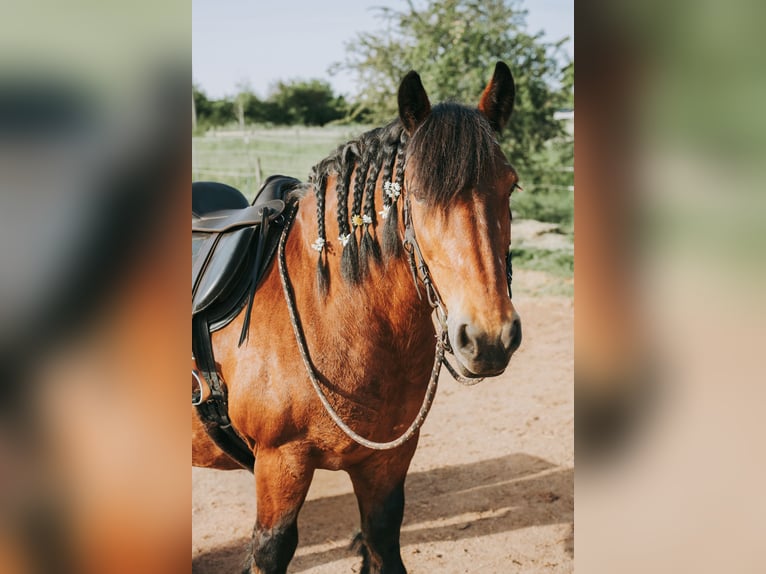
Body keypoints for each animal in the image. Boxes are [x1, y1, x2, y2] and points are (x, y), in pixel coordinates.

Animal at [192, 61, 522, 574]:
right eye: (417, 195)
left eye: (511, 186)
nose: (489, 338)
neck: (335, 318)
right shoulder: (280, 465)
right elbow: (271, 547)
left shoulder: (387, 464)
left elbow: (381, 540)